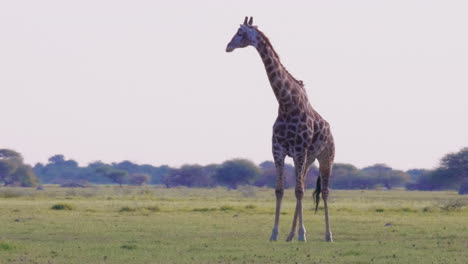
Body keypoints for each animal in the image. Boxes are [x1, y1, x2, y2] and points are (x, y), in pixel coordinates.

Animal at [226, 16, 332, 242]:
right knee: (304, 185)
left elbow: (298, 192)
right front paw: (275, 233)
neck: (286, 104)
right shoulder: (278, 150)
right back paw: (290, 235)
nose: (228, 46)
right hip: (309, 158)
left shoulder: (299, 151)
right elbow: (280, 190)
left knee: (325, 192)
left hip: (326, 156)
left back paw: (328, 235)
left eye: (240, 32)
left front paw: (302, 234)